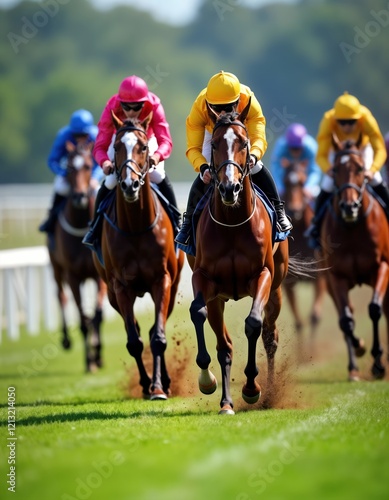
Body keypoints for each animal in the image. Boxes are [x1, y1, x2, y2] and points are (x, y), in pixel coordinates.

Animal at [48, 143, 107, 374]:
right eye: (70, 168)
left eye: (89, 166)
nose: (80, 196)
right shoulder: (73, 275)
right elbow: (82, 321)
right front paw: (89, 361)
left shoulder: (99, 276)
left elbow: (97, 316)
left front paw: (98, 355)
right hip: (56, 268)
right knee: (60, 295)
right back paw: (66, 340)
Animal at [94, 112, 185, 398]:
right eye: (116, 147)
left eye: (143, 147)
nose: (129, 184)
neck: (135, 226)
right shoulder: (120, 286)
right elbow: (134, 341)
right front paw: (147, 384)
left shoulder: (162, 280)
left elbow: (158, 336)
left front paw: (158, 387)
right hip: (112, 294)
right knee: (133, 327)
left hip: (172, 286)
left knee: (157, 326)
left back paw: (165, 380)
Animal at [186, 104, 290, 414]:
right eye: (215, 144)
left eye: (243, 143)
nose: (229, 188)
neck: (232, 223)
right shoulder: (204, 279)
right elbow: (198, 313)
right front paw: (207, 380)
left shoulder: (263, 275)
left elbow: (253, 323)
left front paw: (252, 388)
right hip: (219, 298)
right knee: (225, 345)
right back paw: (226, 402)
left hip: (277, 289)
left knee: (269, 336)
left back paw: (267, 395)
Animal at [280, 160, 326, 344]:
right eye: (285, 182)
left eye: (301, 181)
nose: (295, 210)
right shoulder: (288, 282)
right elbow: (299, 323)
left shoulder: (319, 276)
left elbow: (314, 317)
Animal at [320, 135, 388, 380]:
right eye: (335, 169)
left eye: (359, 168)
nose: (349, 207)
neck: (353, 227)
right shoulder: (335, 276)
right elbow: (346, 320)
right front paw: (358, 350)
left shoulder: (383, 266)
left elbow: (375, 309)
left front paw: (378, 364)